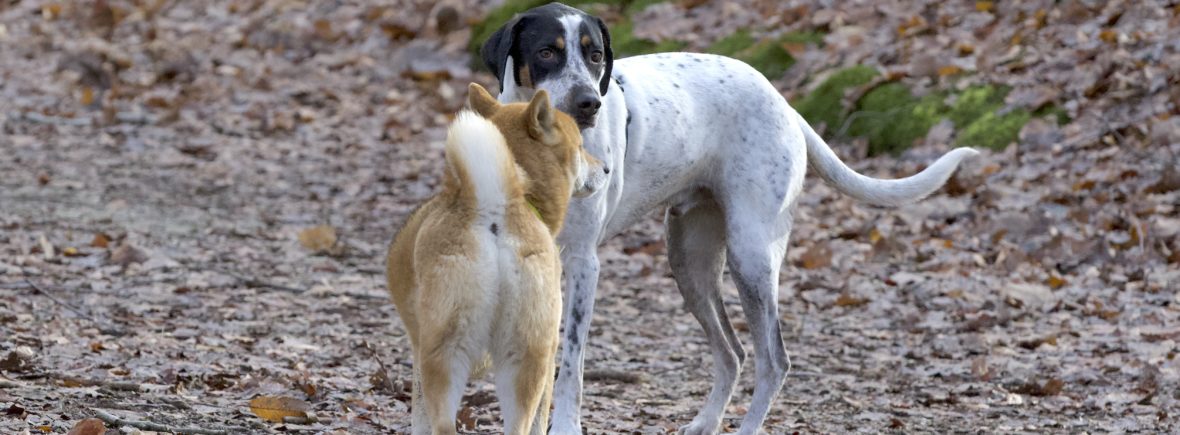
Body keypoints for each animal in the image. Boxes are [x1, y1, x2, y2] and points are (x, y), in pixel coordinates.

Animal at [479, 1, 977, 431]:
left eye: (596, 55)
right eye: (547, 52)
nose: (589, 103)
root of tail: (785, 104)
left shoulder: (583, 263)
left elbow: (570, 364)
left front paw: (565, 425)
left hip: (750, 256)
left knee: (773, 360)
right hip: (690, 263)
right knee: (733, 353)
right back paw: (705, 423)